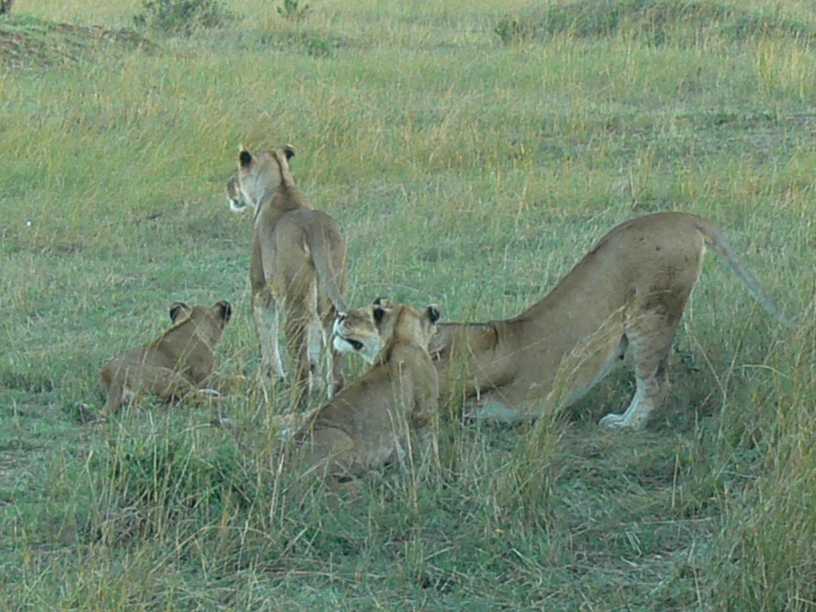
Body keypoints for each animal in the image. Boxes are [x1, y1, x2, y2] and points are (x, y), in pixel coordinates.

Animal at [99, 301, 233, 412]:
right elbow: (230, 380)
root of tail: (111, 378)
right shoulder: (205, 376)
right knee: (194, 398)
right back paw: (231, 399)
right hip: (172, 377)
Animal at [227, 145, 348, 407]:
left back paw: (297, 402)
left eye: (237, 173)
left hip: (293, 302)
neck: (281, 185)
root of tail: (314, 226)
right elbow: (314, 348)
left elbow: (266, 336)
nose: (228, 186)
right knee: (333, 350)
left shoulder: (261, 289)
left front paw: (269, 379)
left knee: (299, 359)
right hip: (329, 290)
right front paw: (315, 382)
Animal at [292, 301, 441, 485]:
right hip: (340, 440)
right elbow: (429, 446)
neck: (399, 336)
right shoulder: (424, 413)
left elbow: (398, 449)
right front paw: (433, 474)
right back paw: (370, 479)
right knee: (322, 484)